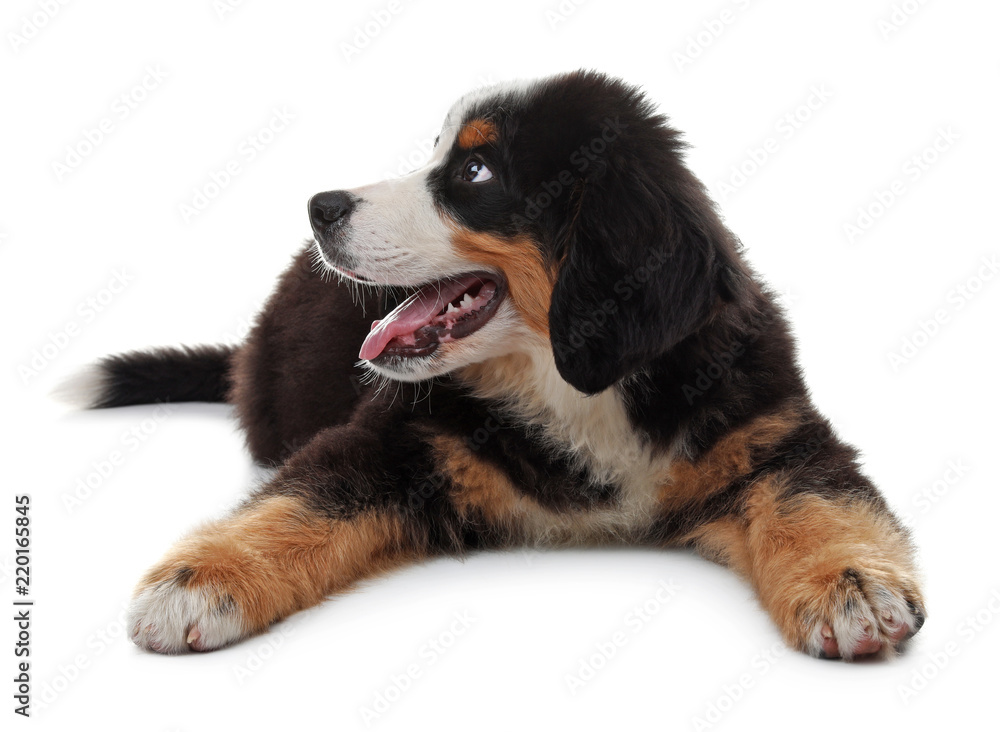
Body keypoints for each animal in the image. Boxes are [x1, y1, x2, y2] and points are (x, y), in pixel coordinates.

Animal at [72, 71, 928, 660]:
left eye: (475, 173)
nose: (319, 208)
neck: (577, 389)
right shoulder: (400, 435)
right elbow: (302, 500)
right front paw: (200, 581)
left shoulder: (771, 428)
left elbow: (815, 498)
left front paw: (851, 587)